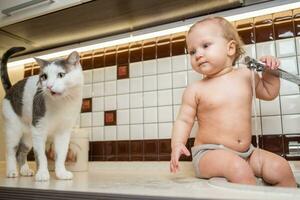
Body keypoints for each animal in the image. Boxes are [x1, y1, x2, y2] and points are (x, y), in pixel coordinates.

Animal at [1, 47, 84, 182]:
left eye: (61, 75)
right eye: (44, 77)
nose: (49, 86)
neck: (61, 104)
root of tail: (11, 89)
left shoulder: (63, 131)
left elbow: (61, 154)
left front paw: (61, 173)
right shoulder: (39, 129)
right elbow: (41, 156)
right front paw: (42, 174)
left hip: (29, 136)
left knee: (20, 152)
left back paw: (25, 170)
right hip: (13, 129)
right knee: (11, 151)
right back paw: (12, 171)